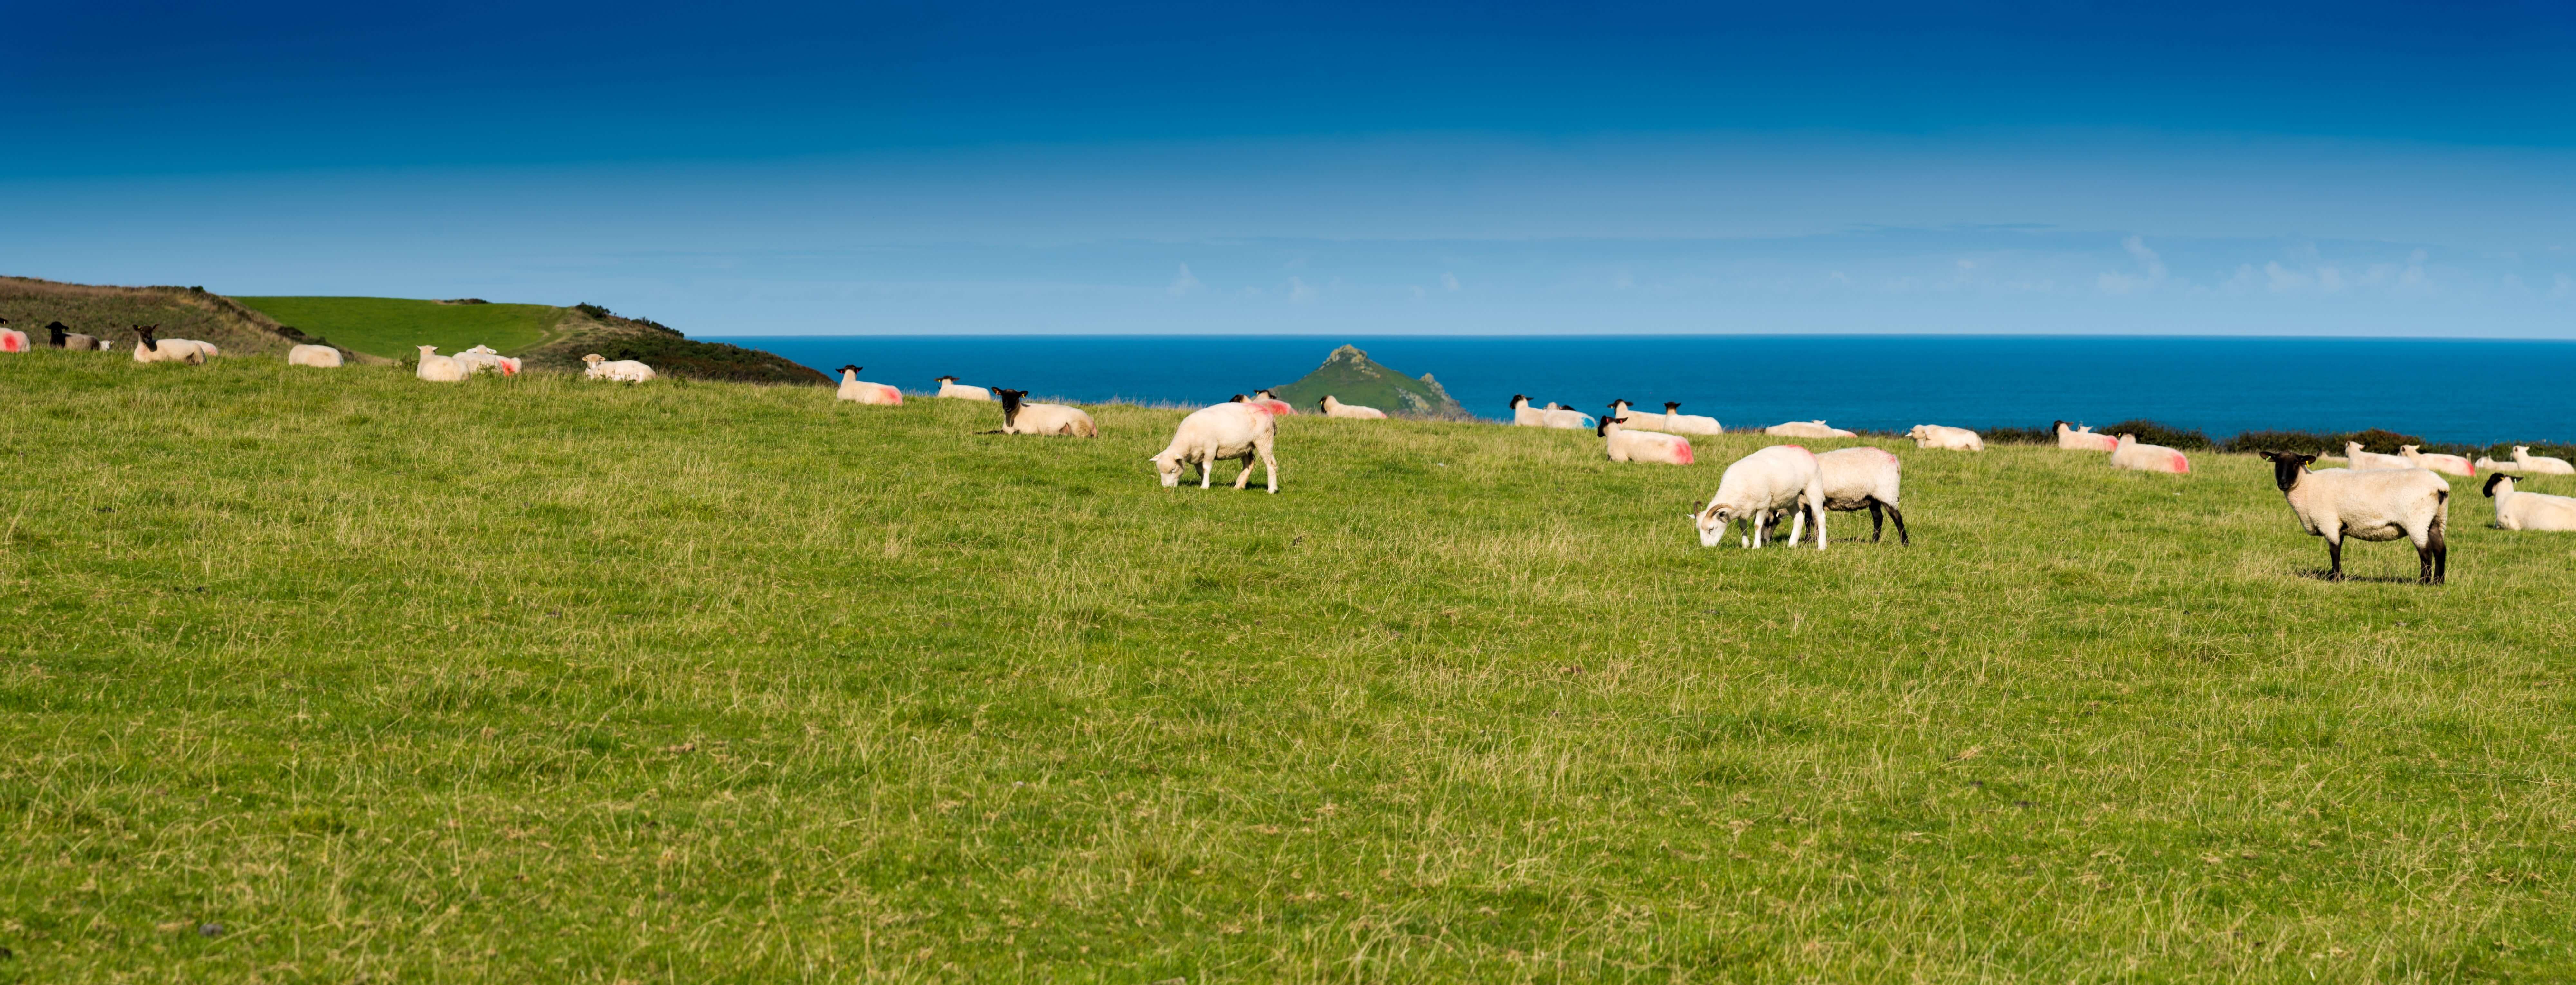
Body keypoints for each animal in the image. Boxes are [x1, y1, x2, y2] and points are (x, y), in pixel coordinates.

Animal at [993, 388, 1098, 436]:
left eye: (1015, 398)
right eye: (1003, 397)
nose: (1006, 407)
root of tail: (1093, 424)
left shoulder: (1031, 430)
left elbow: (1016, 433)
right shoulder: (1003, 430)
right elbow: (992, 432)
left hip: (1078, 428)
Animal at [1150, 401, 1279, 493]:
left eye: (1173, 470)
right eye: (1160, 472)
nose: (1167, 487)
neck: (1188, 440)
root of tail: (1270, 415)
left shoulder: (1210, 449)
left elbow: (1207, 468)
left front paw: (1205, 486)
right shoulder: (1197, 455)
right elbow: (1200, 471)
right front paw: (1205, 482)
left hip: (1264, 440)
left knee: (1271, 464)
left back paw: (1272, 490)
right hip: (1247, 446)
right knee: (1249, 464)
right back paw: (1239, 486)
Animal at [1690, 445, 1827, 550]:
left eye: (1711, 529)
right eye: (1698, 529)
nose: (1706, 548)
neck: (1735, 487)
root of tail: (1804, 450)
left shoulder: (1764, 505)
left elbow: (1757, 525)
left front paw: (1756, 547)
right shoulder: (1742, 509)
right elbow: (1743, 526)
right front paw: (1745, 545)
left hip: (1813, 488)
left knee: (1821, 517)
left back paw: (1822, 547)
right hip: (1791, 498)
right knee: (1798, 518)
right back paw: (1792, 544)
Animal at [1798, 446, 1908, 545]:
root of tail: (1895, 461)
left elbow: (1812, 521)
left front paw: (1811, 540)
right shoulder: (1807, 502)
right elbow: (1809, 521)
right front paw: (1809, 540)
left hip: (1887, 493)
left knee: (1897, 517)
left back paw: (1905, 543)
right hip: (1873, 497)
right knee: (1878, 517)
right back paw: (1874, 542)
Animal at [2257, 451, 2448, 583]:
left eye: (2296, 462)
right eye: (2277, 462)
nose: (2283, 483)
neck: (2307, 487)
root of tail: (2441, 486)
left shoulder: (2328, 522)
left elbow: (2334, 551)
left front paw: (2335, 578)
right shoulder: (2338, 525)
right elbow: (2338, 548)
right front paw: (2338, 576)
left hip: (2417, 521)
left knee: (2426, 552)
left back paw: (2424, 582)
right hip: (2437, 520)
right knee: (2441, 550)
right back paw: (2438, 583)